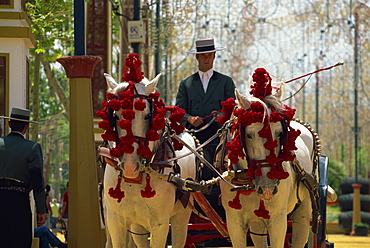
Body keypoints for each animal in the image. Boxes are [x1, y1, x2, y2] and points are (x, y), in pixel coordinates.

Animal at [98, 72, 197, 248]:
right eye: (115, 115)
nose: (130, 166)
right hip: (137, 225)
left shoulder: (160, 224)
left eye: (148, 115)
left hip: (182, 216)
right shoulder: (115, 221)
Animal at [220, 68, 318, 248]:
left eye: (280, 132)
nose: (268, 187)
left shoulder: (278, 220)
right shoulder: (233, 221)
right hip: (258, 222)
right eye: (249, 135)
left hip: (304, 209)